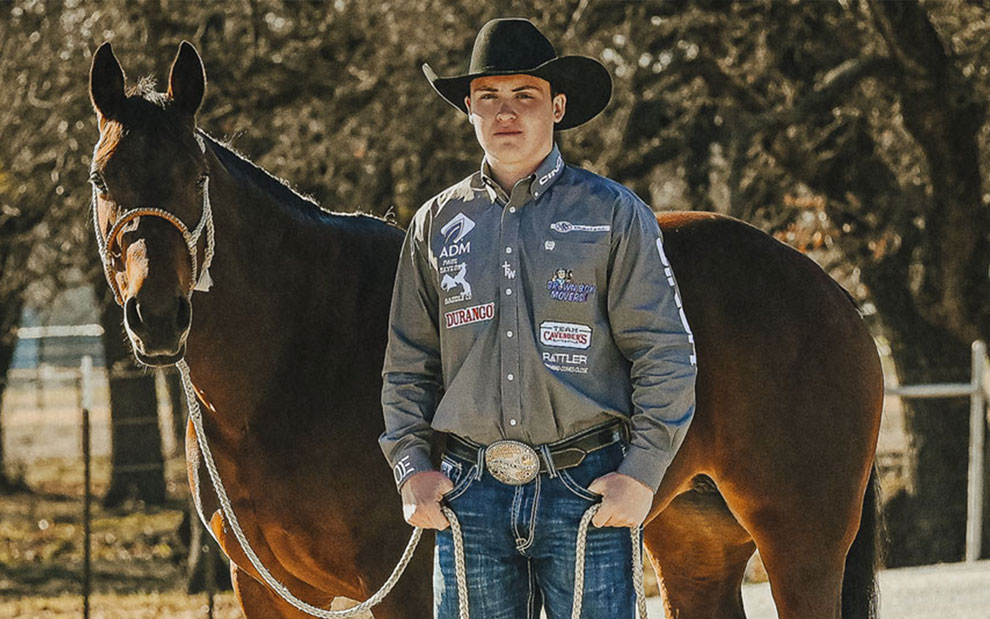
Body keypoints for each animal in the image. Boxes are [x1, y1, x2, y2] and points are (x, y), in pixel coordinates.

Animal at [91, 41, 884, 616]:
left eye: (195, 174)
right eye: (101, 179)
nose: (156, 316)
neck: (295, 359)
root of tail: (830, 292)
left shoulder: (406, 584)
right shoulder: (263, 588)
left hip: (802, 543)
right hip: (692, 542)